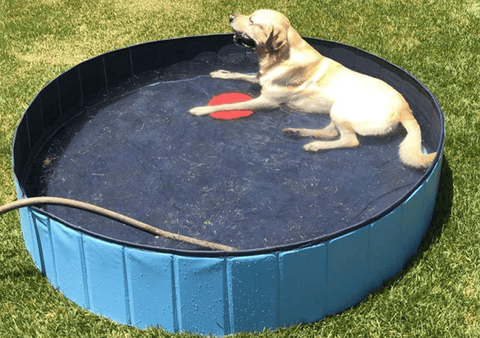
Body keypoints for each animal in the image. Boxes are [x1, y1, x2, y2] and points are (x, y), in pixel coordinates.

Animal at [189, 8, 436, 169]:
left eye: (251, 20)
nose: (230, 16)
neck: (280, 56)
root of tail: (405, 109)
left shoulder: (266, 101)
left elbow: (232, 103)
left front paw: (202, 109)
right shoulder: (261, 80)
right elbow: (244, 75)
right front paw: (221, 73)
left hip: (342, 108)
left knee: (350, 141)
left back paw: (314, 145)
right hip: (336, 111)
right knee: (331, 132)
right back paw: (298, 132)